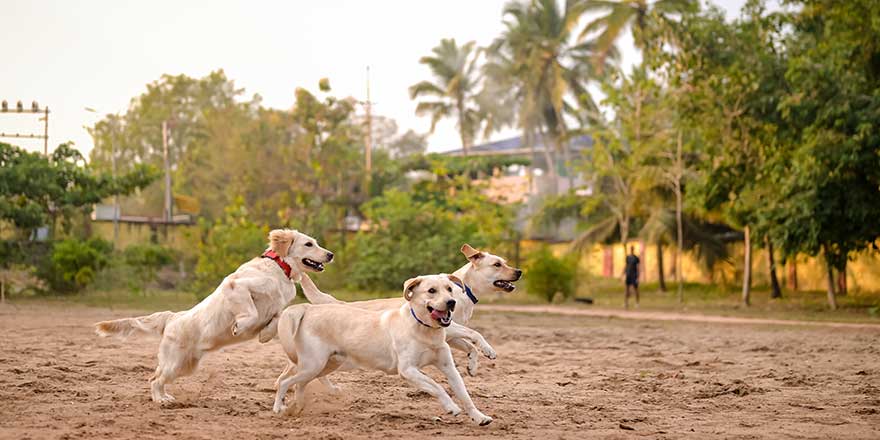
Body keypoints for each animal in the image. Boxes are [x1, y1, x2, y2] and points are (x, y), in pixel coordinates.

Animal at [93, 229, 334, 404]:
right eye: (309, 244)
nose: (330, 255)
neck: (279, 267)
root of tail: (173, 317)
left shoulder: (277, 308)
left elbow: (275, 318)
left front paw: (264, 334)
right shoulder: (235, 286)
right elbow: (250, 311)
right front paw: (239, 326)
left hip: (184, 365)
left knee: (156, 376)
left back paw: (165, 396)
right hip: (175, 362)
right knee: (155, 380)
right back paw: (161, 400)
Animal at [276, 274, 496, 424]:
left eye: (450, 289)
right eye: (432, 291)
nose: (451, 302)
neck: (424, 330)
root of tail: (307, 309)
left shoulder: (449, 368)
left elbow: (465, 395)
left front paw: (480, 417)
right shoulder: (408, 370)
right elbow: (437, 387)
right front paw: (451, 407)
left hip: (327, 365)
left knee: (299, 384)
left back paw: (297, 407)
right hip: (313, 364)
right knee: (285, 381)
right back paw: (279, 407)